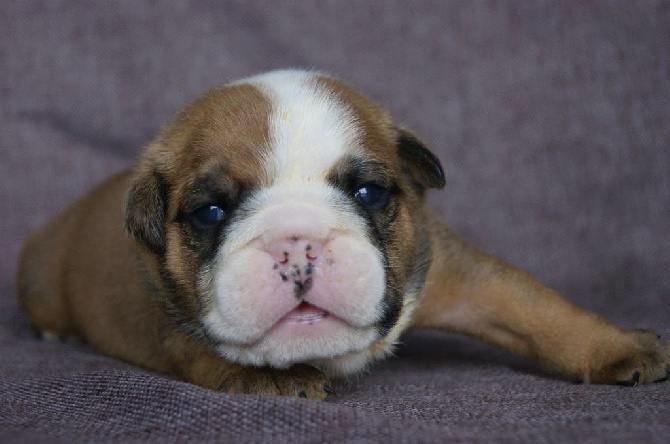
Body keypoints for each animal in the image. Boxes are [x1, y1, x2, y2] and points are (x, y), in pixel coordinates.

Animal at [18, 69, 668, 398]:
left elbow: (536, 307)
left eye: (367, 194)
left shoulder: (450, 269)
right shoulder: (170, 320)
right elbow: (210, 351)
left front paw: (615, 348)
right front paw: (270, 377)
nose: (296, 242)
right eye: (211, 212)